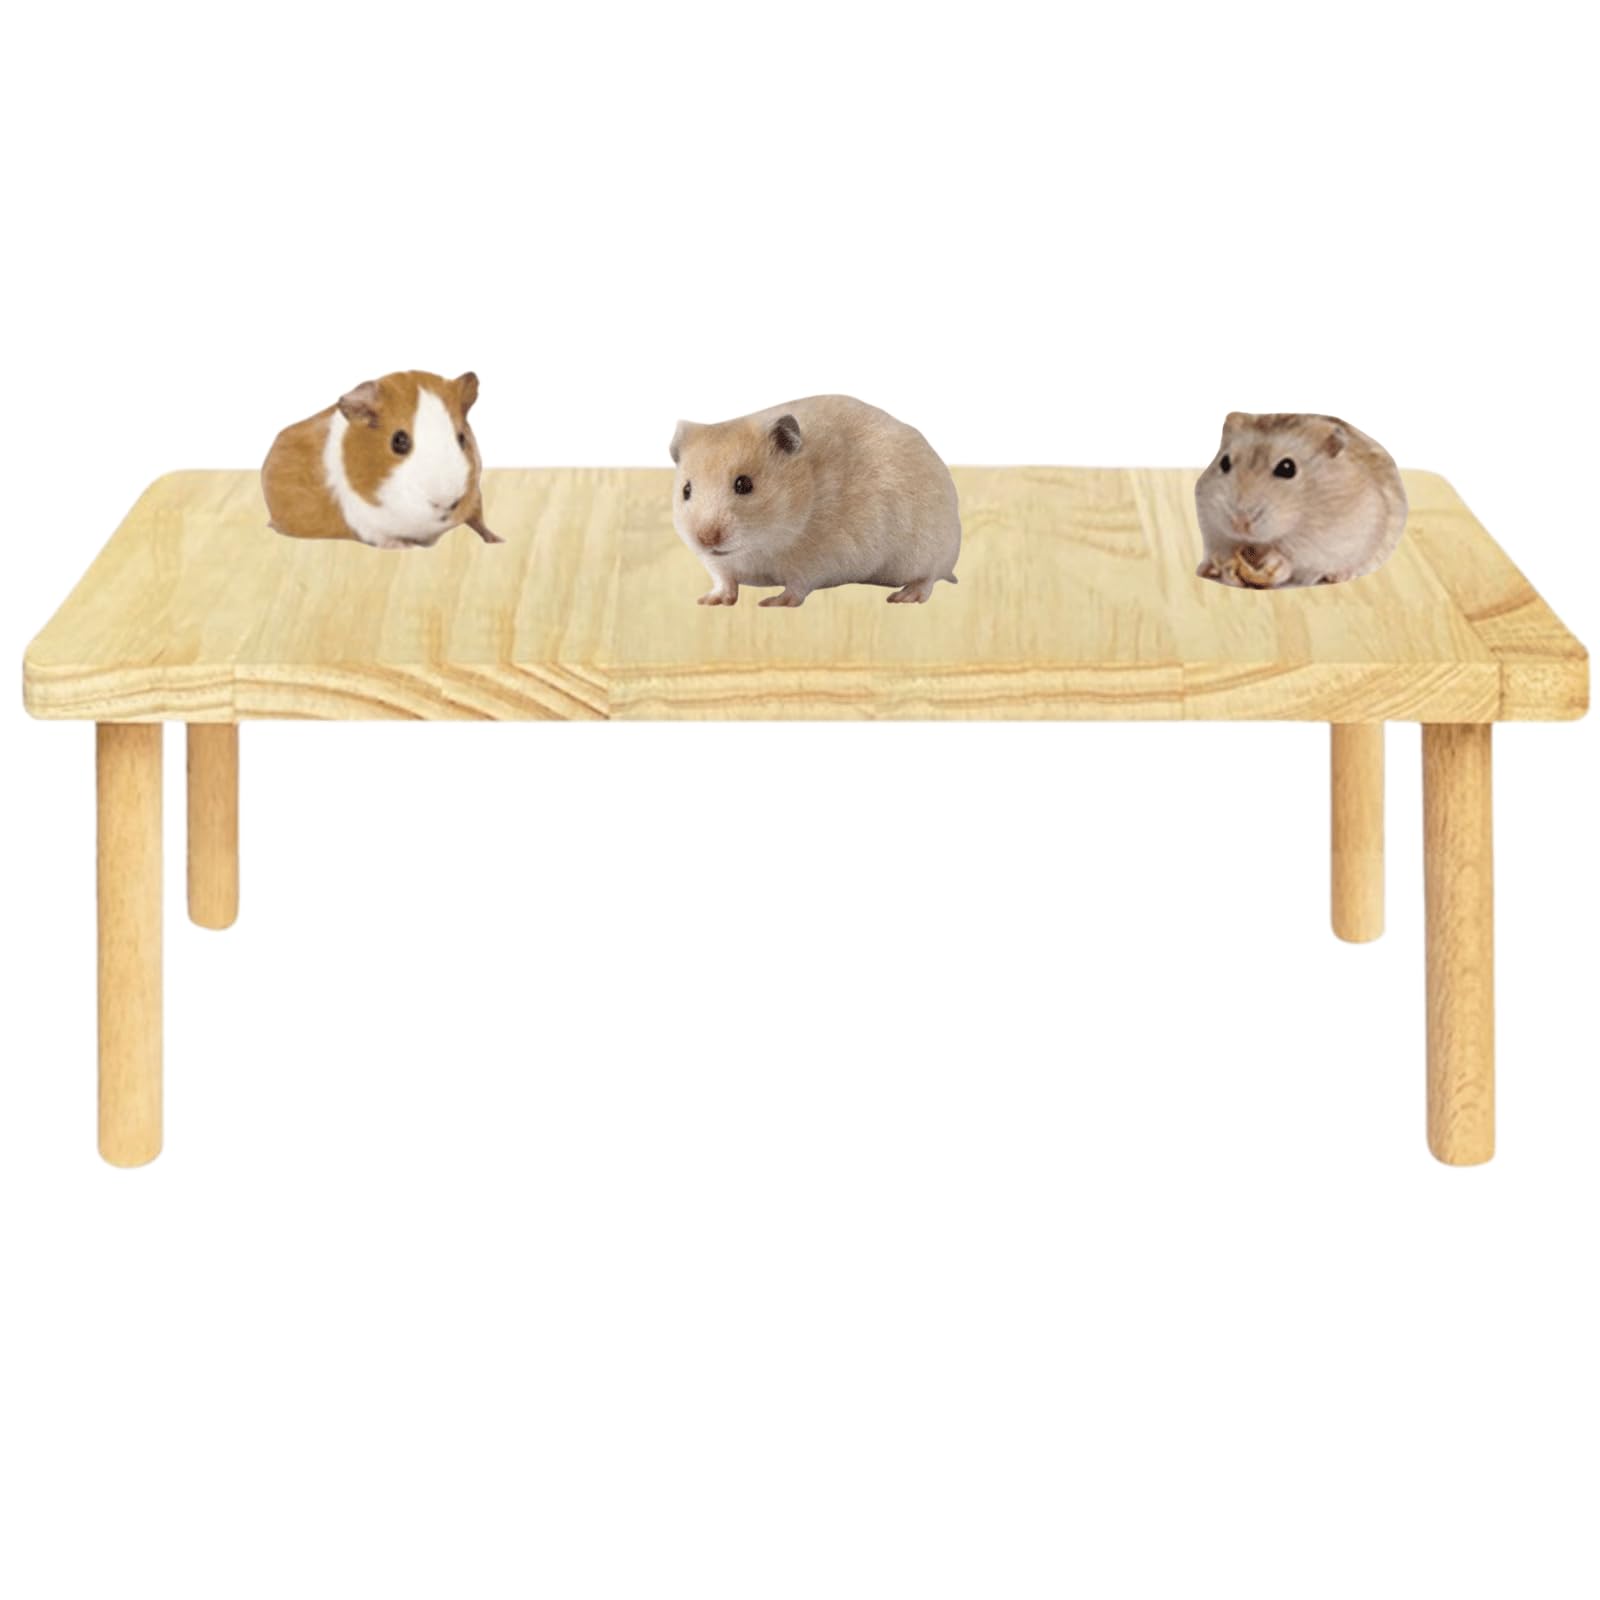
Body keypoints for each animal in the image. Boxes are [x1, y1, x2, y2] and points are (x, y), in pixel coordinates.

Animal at [262, 370, 502, 550]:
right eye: (399, 440)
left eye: (462, 438)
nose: (446, 502)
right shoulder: (365, 522)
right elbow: (385, 538)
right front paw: (405, 546)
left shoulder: (475, 498)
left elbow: (478, 520)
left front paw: (497, 539)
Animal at [668, 395, 961, 606]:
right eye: (686, 490)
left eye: (744, 484)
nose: (706, 539)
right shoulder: (719, 565)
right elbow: (724, 581)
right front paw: (709, 601)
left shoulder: (817, 561)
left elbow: (797, 586)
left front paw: (772, 602)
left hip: (927, 548)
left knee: (930, 576)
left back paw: (904, 596)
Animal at [1194, 413, 1407, 588]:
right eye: (1224, 462)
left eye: (1287, 468)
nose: (1239, 523)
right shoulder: (1212, 529)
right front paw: (1224, 570)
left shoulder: (1326, 541)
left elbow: (1292, 560)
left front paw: (1273, 563)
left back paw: (1339, 576)